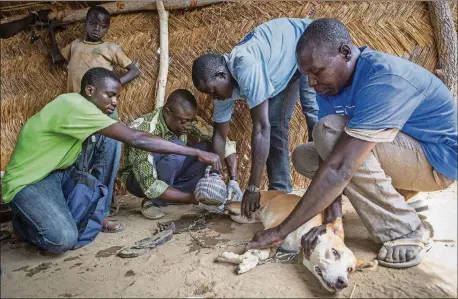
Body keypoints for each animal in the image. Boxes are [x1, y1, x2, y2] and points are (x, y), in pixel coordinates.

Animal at [215, 192, 376, 292]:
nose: (343, 283)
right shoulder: (272, 232)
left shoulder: (274, 246)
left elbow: (260, 255)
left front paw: (244, 262)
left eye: (350, 270)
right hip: (244, 207)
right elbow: (254, 248)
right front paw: (235, 257)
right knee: (229, 204)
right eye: (335, 252)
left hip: (243, 217)